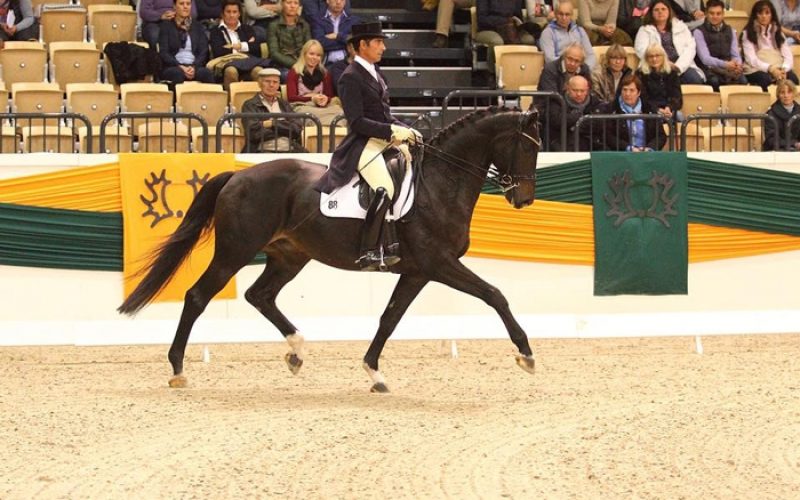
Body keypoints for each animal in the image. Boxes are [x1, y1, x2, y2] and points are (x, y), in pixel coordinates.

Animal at [118, 107, 541, 392]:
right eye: (525, 148)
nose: (523, 199)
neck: (438, 183)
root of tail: (239, 175)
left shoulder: (417, 271)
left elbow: (389, 318)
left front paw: (374, 373)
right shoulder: (439, 263)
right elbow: (495, 295)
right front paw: (526, 355)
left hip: (289, 256)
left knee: (260, 295)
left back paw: (296, 352)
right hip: (235, 252)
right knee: (197, 297)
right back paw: (178, 370)